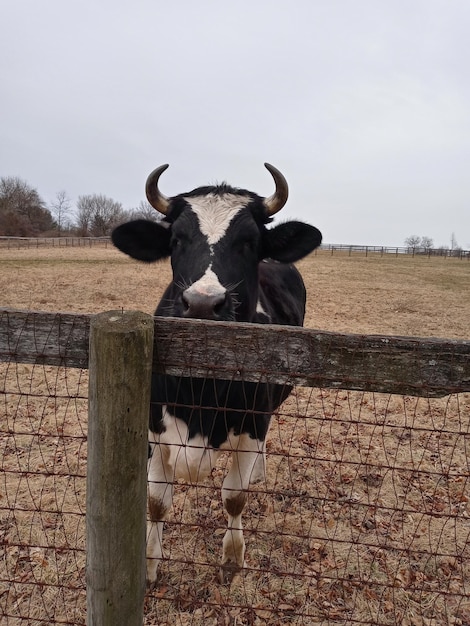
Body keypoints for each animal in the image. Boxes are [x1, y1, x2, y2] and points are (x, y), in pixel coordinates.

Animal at [112, 163, 322, 584]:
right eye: (176, 240)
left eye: (250, 242)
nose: (203, 304)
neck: (203, 390)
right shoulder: (153, 429)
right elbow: (157, 502)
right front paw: (149, 564)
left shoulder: (253, 425)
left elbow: (234, 497)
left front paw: (232, 557)